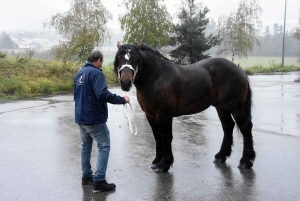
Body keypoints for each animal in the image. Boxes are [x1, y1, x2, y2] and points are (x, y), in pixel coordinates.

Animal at [113, 42, 254, 173]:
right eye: (119, 58)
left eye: (136, 59)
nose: (125, 82)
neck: (157, 77)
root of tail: (240, 70)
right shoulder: (150, 115)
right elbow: (157, 136)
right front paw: (157, 161)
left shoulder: (164, 115)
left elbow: (166, 137)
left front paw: (164, 164)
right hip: (221, 107)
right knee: (228, 126)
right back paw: (221, 156)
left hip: (235, 107)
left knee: (245, 126)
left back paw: (246, 161)